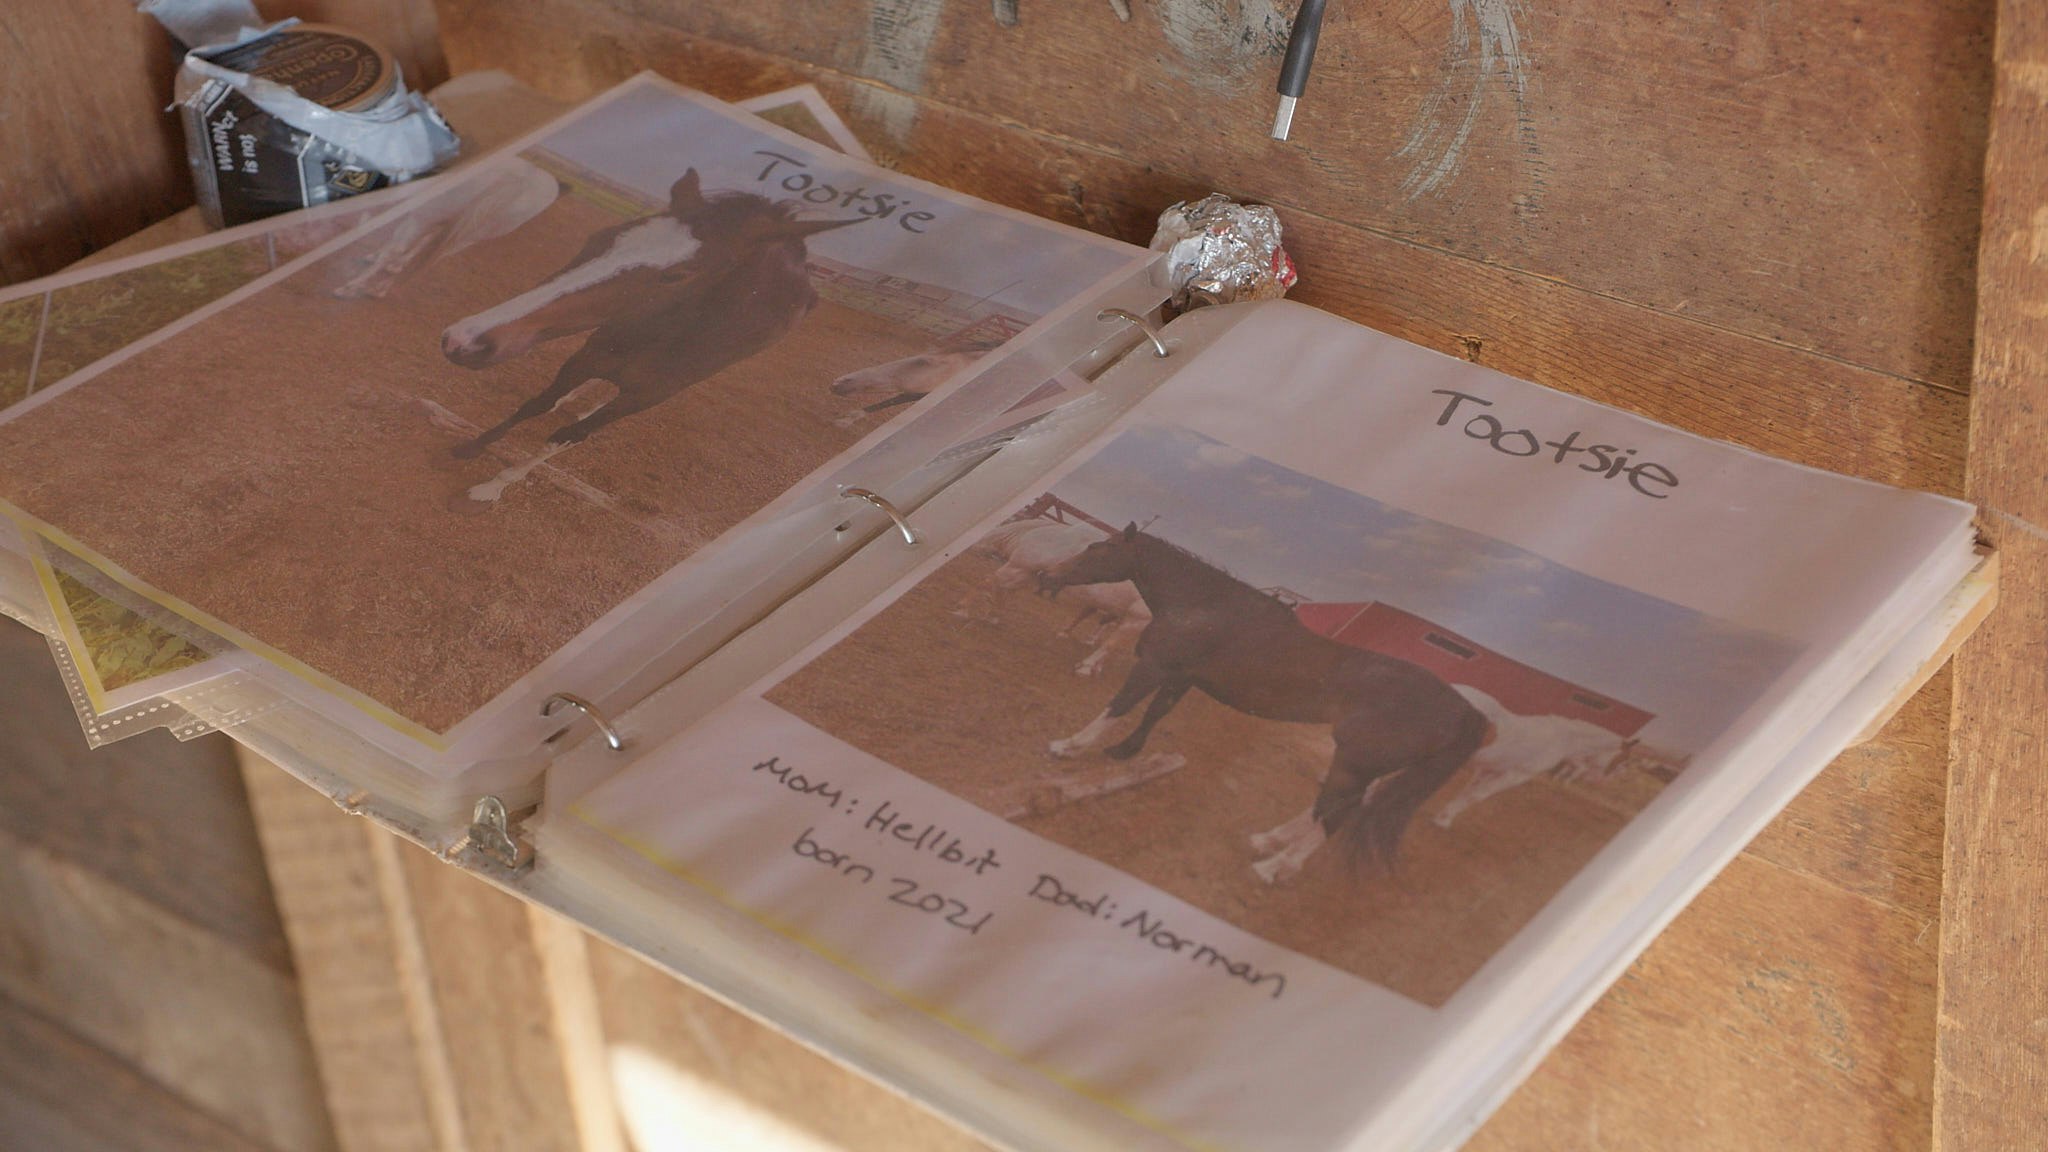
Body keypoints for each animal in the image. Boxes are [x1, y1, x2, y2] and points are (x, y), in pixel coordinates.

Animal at [440, 167, 864, 502]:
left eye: (676, 276)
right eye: (605, 234)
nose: (463, 339)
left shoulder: (645, 396)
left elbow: (569, 436)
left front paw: (490, 488)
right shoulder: (588, 356)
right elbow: (539, 404)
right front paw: (470, 448)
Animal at [1048, 522, 1482, 869]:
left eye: (1099, 548)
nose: (1052, 574)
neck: (1208, 607)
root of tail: (1462, 710)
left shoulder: (1155, 666)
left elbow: (1119, 705)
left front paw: (1067, 746)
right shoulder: (1180, 677)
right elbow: (1156, 712)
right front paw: (1124, 753)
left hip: (1356, 762)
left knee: (1337, 813)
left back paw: (1276, 868)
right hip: (1365, 767)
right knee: (1332, 806)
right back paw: (1266, 841)